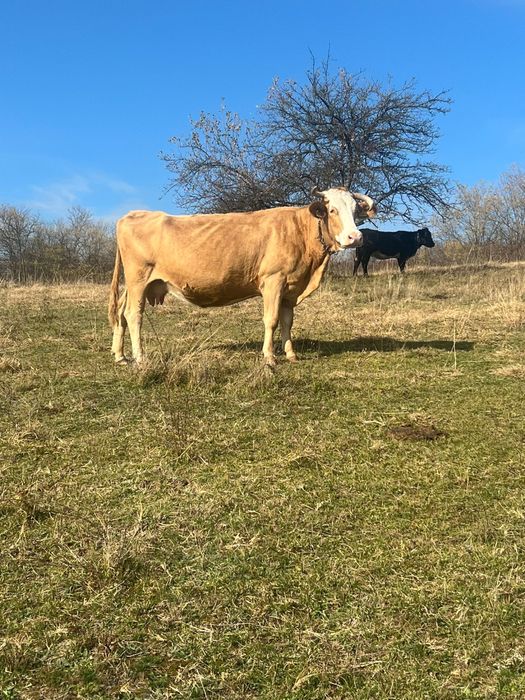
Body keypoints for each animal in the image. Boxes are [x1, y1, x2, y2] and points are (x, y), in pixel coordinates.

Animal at [108, 188, 376, 366]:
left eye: (356, 211)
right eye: (332, 210)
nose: (355, 237)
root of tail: (131, 215)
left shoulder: (290, 288)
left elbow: (288, 322)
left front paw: (291, 354)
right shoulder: (273, 281)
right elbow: (272, 320)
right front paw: (269, 357)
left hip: (135, 283)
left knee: (120, 312)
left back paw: (120, 355)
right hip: (138, 279)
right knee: (133, 314)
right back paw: (140, 357)